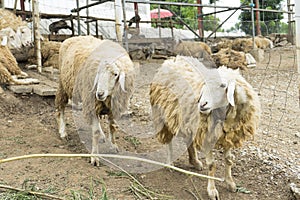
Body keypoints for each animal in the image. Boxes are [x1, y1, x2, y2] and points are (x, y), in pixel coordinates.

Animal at [54, 36, 137, 166]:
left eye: (115, 74)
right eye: (98, 72)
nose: (99, 94)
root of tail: (74, 37)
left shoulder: (113, 107)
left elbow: (112, 126)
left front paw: (113, 146)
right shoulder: (92, 104)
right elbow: (96, 131)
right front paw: (94, 157)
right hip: (64, 83)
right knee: (60, 107)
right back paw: (63, 132)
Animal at [149, 55, 260, 200]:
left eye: (223, 85)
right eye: (205, 85)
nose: (202, 104)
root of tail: (172, 59)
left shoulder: (229, 136)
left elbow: (228, 160)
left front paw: (230, 183)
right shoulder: (207, 136)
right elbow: (212, 165)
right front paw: (212, 190)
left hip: (188, 121)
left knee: (189, 141)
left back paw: (195, 162)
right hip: (164, 115)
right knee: (168, 141)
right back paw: (170, 163)